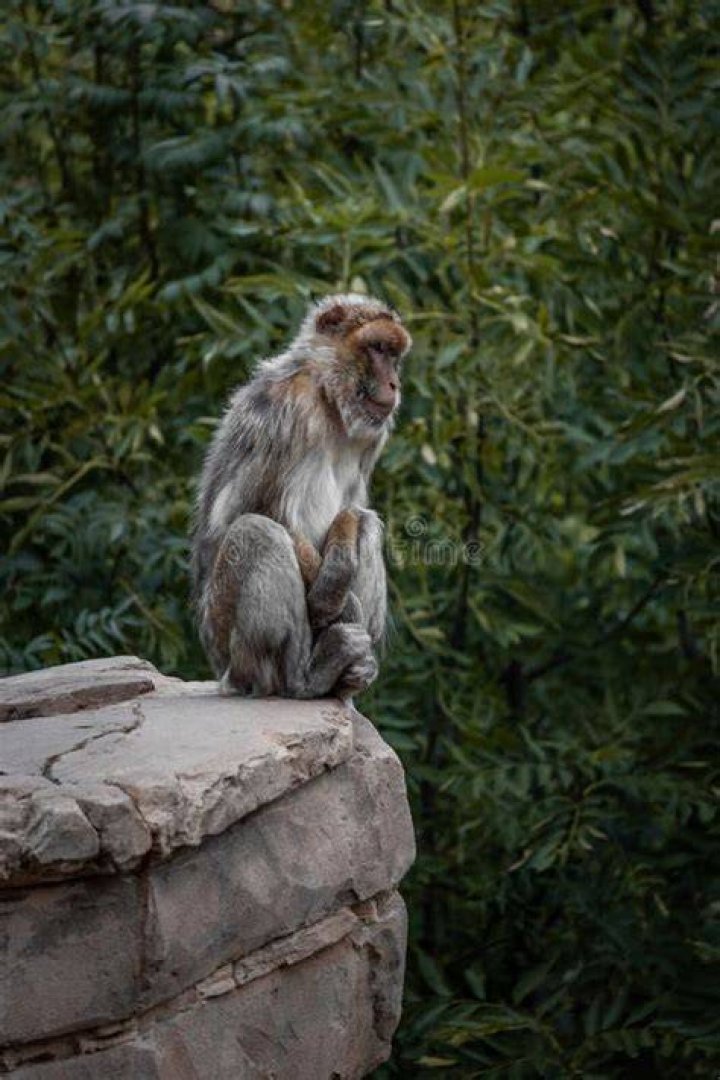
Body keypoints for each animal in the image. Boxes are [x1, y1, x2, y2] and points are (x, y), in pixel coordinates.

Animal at [191, 293, 412, 699]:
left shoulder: (374, 435)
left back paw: (349, 675)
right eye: (377, 348)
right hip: (227, 643)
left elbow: (354, 509)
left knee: (369, 525)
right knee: (256, 531)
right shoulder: (284, 409)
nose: (393, 382)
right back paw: (306, 678)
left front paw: (339, 568)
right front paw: (332, 597)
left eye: (394, 354)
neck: (329, 400)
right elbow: (241, 513)